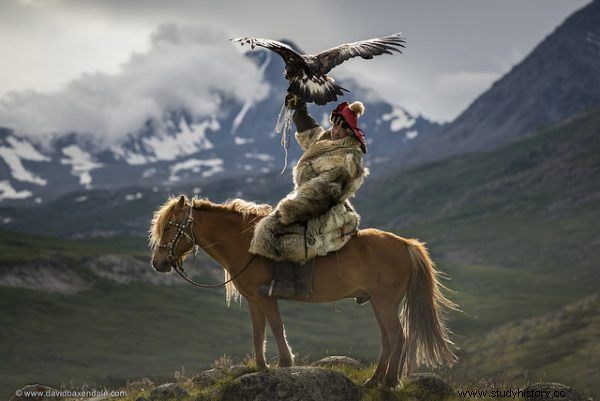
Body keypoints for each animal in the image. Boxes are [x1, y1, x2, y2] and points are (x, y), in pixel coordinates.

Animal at [149, 194, 454, 388]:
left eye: (170, 227)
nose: (158, 263)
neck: (246, 244)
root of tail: (406, 244)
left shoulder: (266, 298)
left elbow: (276, 329)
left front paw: (284, 365)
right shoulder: (254, 301)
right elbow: (258, 333)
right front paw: (260, 368)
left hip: (385, 303)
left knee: (397, 338)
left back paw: (389, 383)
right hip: (379, 303)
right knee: (388, 340)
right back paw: (375, 380)